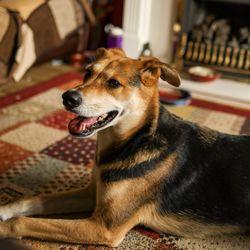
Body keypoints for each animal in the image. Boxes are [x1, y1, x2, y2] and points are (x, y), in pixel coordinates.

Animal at [0, 47, 250, 247]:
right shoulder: (92, 194)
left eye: (113, 83)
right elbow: (31, 200)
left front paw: (3, 227)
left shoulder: (104, 227)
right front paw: (4, 209)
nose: (67, 97)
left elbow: (21, 222)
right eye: (87, 72)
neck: (134, 140)